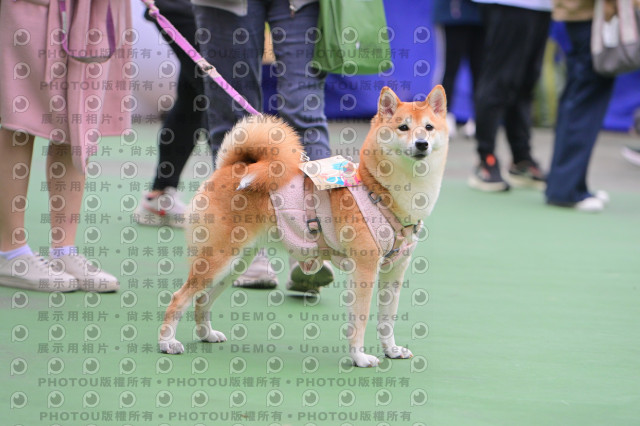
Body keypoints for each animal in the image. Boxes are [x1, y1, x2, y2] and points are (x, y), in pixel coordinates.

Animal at [158, 85, 449, 367]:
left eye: (429, 127)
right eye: (403, 127)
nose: (421, 143)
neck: (378, 190)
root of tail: (233, 168)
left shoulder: (394, 271)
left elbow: (387, 320)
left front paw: (391, 350)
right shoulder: (364, 269)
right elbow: (361, 319)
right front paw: (359, 358)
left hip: (234, 264)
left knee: (202, 299)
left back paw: (206, 334)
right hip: (216, 260)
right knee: (179, 298)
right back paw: (167, 343)